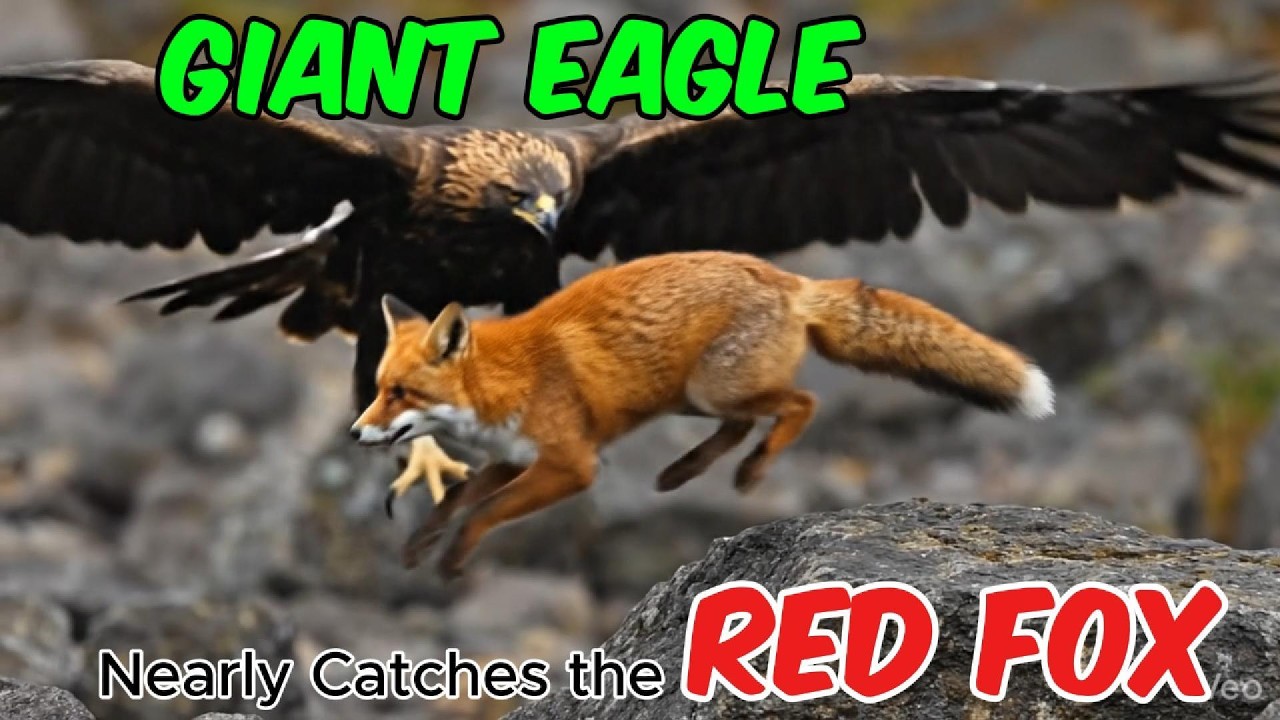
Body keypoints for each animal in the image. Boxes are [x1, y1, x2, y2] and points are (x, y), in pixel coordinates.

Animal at [351, 251, 1054, 576]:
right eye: (380, 388)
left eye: (401, 393)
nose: (357, 432)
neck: (508, 377)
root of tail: (788, 280)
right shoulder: (515, 458)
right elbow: (458, 498)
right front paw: (420, 545)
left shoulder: (572, 465)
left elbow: (484, 513)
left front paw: (451, 559)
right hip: (695, 395)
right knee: (744, 423)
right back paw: (681, 473)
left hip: (712, 387)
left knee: (800, 403)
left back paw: (750, 471)